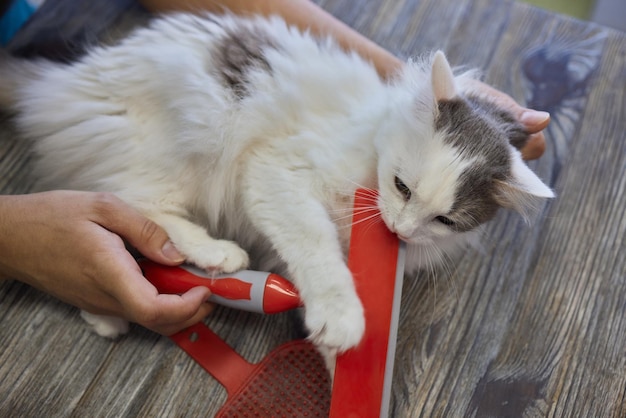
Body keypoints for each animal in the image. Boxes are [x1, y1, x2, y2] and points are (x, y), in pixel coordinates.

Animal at [0, 13, 552, 352]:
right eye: (401, 187)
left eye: (444, 220)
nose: (403, 230)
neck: (367, 144)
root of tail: (64, 83)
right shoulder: (275, 172)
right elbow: (318, 251)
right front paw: (341, 317)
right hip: (189, 142)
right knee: (130, 200)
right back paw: (216, 256)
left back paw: (105, 314)